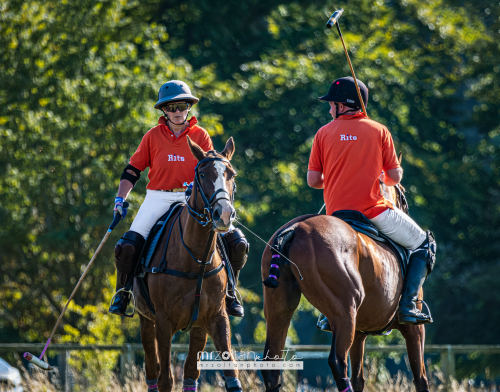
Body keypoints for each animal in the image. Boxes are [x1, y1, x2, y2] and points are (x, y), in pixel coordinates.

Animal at [134, 137, 241, 392]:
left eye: (231, 174)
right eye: (202, 174)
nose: (224, 214)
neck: (197, 260)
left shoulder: (217, 316)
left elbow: (232, 375)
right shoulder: (163, 321)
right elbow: (165, 379)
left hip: (198, 326)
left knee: (191, 373)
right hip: (146, 319)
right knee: (152, 372)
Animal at [262, 184, 430, 392]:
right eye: (403, 196)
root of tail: (295, 229)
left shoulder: (359, 332)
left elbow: (358, 378)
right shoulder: (414, 329)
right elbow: (420, 378)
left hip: (279, 308)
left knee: (271, 363)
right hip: (344, 311)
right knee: (337, 361)